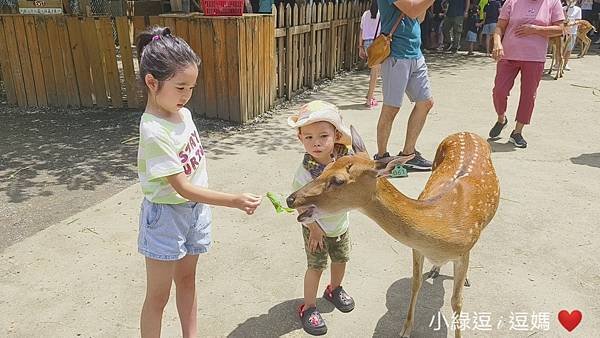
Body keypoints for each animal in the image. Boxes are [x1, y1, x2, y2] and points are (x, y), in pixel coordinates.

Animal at [288, 127, 500, 338]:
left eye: (338, 180)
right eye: (325, 168)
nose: (291, 199)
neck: (442, 226)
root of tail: (466, 132)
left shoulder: (463, 251)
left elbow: (456, 301)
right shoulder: (417, 249)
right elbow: (415, 284)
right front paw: (405, 329)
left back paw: (463, 278)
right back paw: (435, 270)